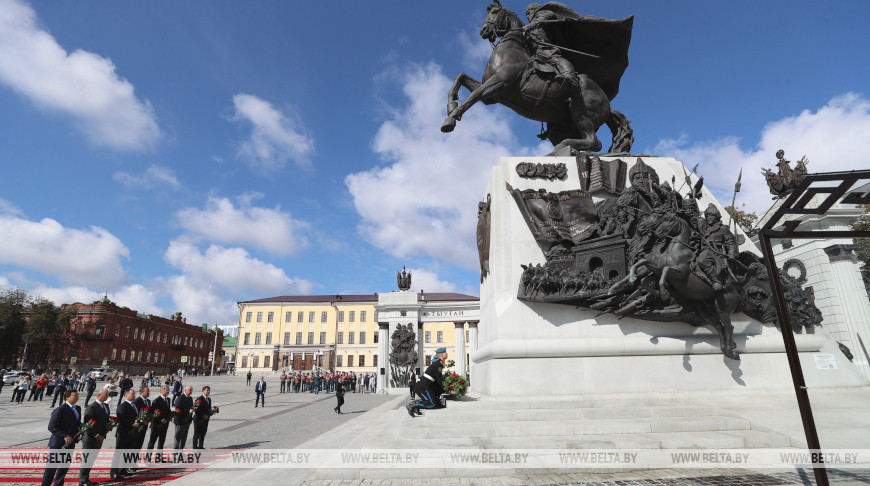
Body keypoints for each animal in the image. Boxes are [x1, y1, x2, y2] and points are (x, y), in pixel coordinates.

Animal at [442, 1, 632, 154]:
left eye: (495, 12)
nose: (483, 30)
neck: (510, 50)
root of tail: (608, 103)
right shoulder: (493, 96)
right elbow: (460, 78)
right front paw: (451, 106)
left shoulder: (501, 82)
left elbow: (473, 95)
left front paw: (450, 120)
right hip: (560, 127)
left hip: (580, 112)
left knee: (594, 142)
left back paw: (565, 143)